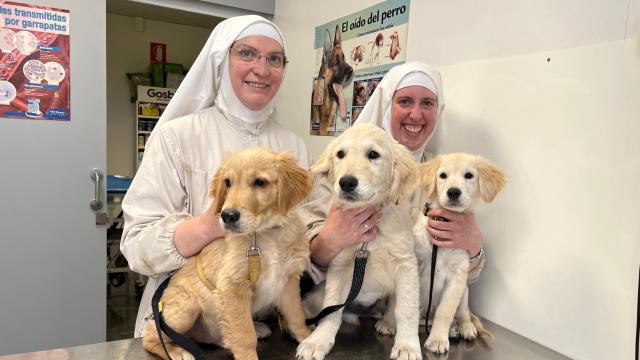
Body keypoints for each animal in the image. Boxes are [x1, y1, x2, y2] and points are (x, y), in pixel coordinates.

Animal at [145, 147, 316, 360]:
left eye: (260, 182)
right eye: (228, 182)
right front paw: (248, 356)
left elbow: (296, 316)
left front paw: (309, 340)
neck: (264, 234)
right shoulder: (232, 287)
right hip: (187, 305)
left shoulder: (288, 281)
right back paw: (178, 351)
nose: (227, 216)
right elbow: (244, 335)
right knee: (152, 335)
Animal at [296, 123, 424, 360]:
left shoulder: (406, 264)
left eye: (373, 154)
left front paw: (408, 346)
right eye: (340, 154)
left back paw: (388, 322)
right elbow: (331, 309)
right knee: (317, 307)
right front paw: (318, 341)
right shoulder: (339, 266)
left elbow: (407, 309)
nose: (346, 182)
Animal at [416, 153, 504, 354]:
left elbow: (445, 311)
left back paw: (463, 328)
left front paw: (437, 339)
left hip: (464, 293)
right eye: (443, 175)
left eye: (469, 175)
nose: (453, 192)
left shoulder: (457, 278)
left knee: (462, 315)